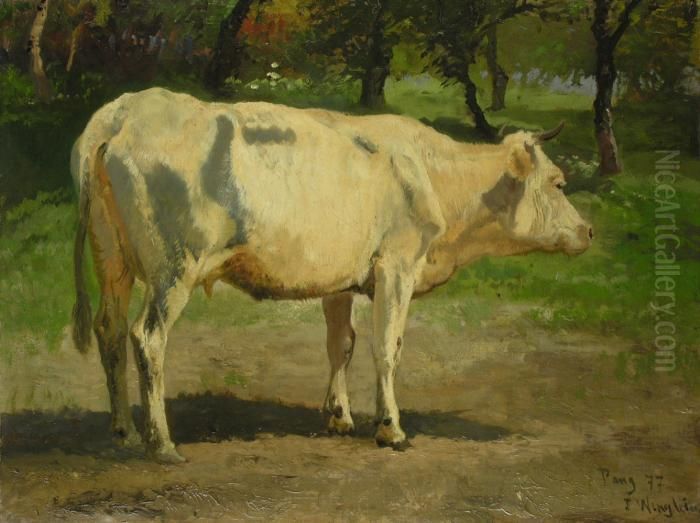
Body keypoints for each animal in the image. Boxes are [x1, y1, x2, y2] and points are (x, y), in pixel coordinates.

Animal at [71, 87, 592, 463]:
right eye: (558, 183)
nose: (588, 230)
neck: (433, 175)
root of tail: (123, 111)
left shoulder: (340, 281)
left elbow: (341, 344)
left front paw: (339, 417)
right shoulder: (397, 265)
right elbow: (387, 347)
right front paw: (391, 429)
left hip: (112, 261)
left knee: (109, 330)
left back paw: (123, 431)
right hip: (174, 269)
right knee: (147, 337)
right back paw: (161, 443)